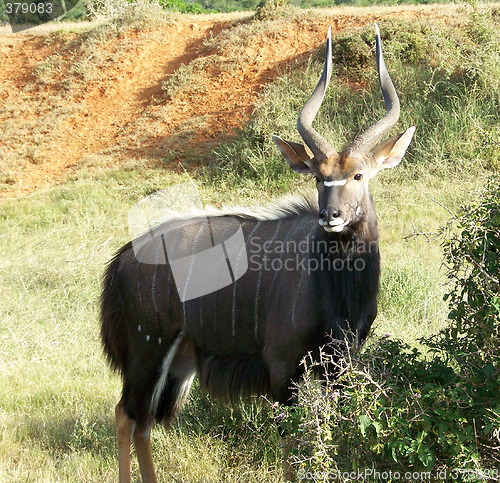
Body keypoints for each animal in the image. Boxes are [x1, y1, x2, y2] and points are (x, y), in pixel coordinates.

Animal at [100, 25, 414, 480]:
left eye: (358, 175)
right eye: (318, 177)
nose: (331, 216)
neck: (334, 285)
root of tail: (122, 258)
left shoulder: (340, 364)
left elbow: (331, 429)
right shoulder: (282, 366)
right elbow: (291, 442)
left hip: (177, 360)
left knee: (143, 422)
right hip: (147, 348)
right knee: (126, 414)